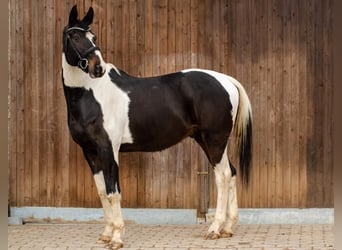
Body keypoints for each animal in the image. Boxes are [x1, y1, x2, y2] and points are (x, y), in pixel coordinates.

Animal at [62, 4, 252, 249]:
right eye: (75, 36)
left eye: (93, 36)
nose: (98, 68)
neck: (91, 94)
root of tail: (226, 80)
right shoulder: (90, 151)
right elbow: (102, 192)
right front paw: (106, 233)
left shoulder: (108, 149)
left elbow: (114, 192)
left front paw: (117, 237)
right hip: (208, 140)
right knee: (233, 173)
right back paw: (227, 228)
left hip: (215, 140)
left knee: (224, 176)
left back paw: (214, 229)